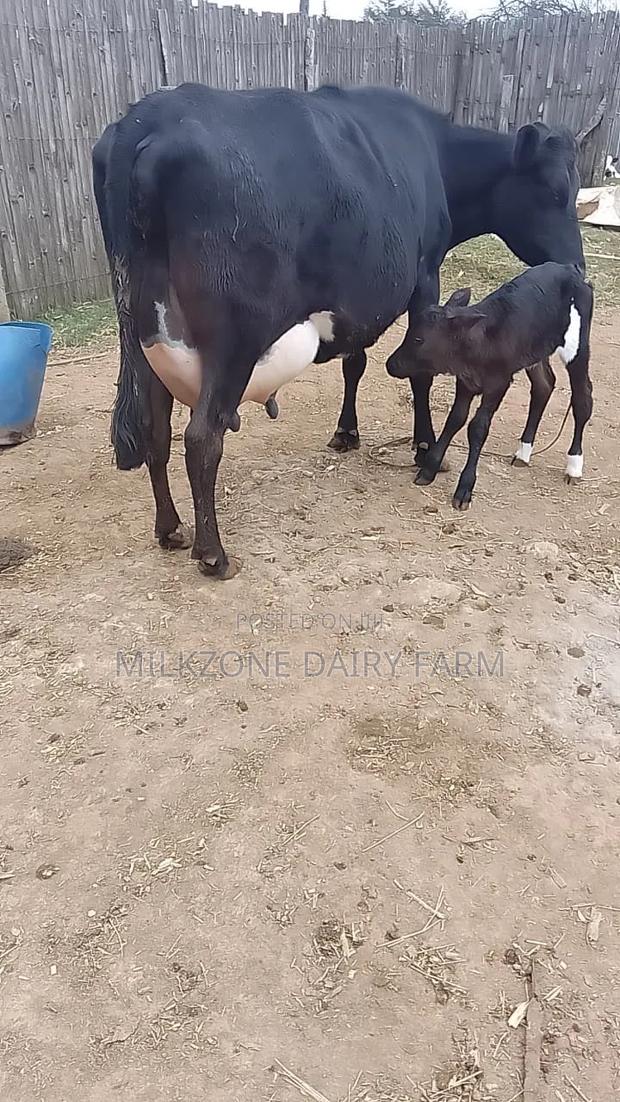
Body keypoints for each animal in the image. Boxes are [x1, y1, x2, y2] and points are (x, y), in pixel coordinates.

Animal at [387, 263, 594, 508]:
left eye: (419, 339)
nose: (391, 364)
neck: (482, 341)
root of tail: (570, 269)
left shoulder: (498, 383)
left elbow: (477, 428)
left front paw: (465, 487)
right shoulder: (466, 382)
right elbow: (455, 419)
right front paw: (429, 469)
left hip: (577, 347)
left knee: (582, 398)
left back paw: (574, 466)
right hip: (534, 351)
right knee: (544, 385)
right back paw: (524, 452)